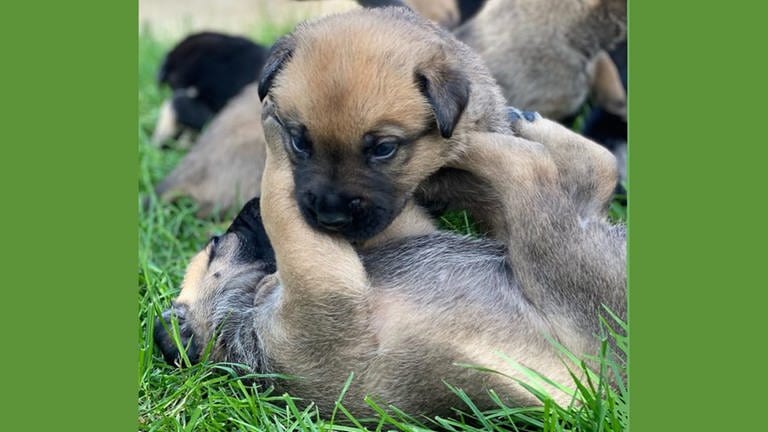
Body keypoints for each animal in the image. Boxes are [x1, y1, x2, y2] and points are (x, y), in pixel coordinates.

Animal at [154, 5, 624, 418]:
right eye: (218, 243)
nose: (246, 206)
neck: (247, 306)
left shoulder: (392, 226)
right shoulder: (322, 285)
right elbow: (282, 209)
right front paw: (272, 131)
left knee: (588, 167)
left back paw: (518, 123)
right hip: (560, 257)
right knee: (543, 169)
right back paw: (509, 137)